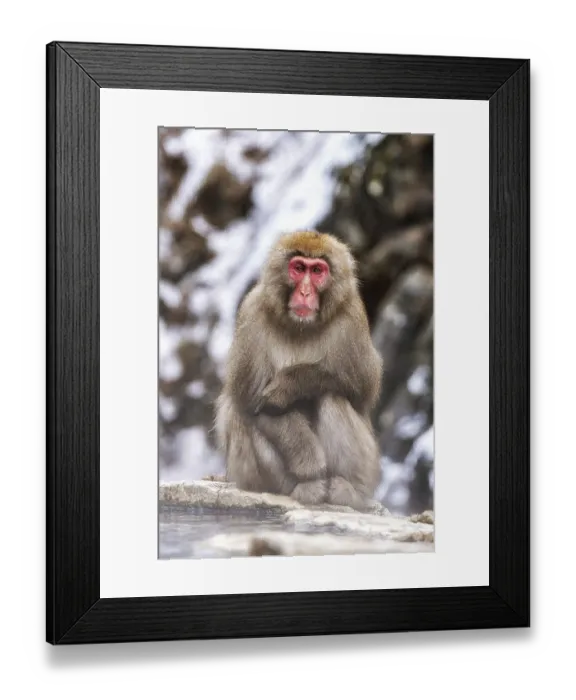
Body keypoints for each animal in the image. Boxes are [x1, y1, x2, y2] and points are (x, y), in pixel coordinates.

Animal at [214, 230, 383, 511]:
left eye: (317, 271)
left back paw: (349, 491)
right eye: (298, 268)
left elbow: (363, 387)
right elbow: (251, 402)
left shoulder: (353, 316)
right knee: (238, 413)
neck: (302, 326)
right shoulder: (251, 313)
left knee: (332, 395)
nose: (304, 292)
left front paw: (289, 385)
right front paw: (310, 465)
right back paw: (305, 486)